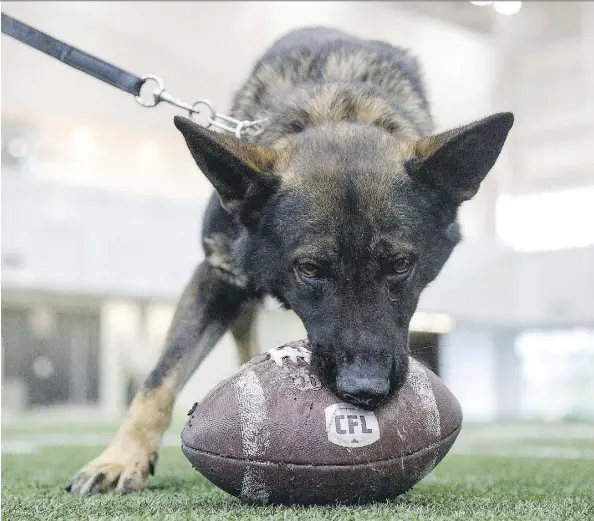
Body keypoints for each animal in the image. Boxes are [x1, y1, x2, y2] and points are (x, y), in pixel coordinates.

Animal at [65, 26, 508, 494]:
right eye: (309, 270)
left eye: (400, 265)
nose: (364, 390)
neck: (335, 106)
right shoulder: (216, 279)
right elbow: (160, 376)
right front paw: (120, 457)